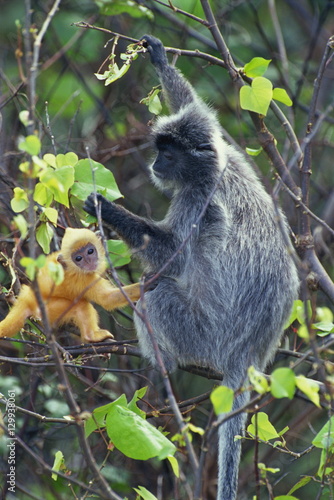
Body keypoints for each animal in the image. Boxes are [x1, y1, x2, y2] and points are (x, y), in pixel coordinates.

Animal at [0, 228, 141, 342]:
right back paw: (91, 337)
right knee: (81, 304)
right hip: (48, 309)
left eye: (90, 251)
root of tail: (27, 298)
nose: (89, 262)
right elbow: (107, 299)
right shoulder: (83, 279)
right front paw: (144, 285)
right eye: (78, 258)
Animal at [84, 36, 300, 500]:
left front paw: (106, 208)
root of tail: (247, 355)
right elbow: (200, 109)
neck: (214, 169)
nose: (156, 164)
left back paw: (159, 359)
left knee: (156, 290)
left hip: (201, 336)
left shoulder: (199, 200)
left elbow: (173, 255)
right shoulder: (231, 153)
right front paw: (161, 60)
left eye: (168, 154)